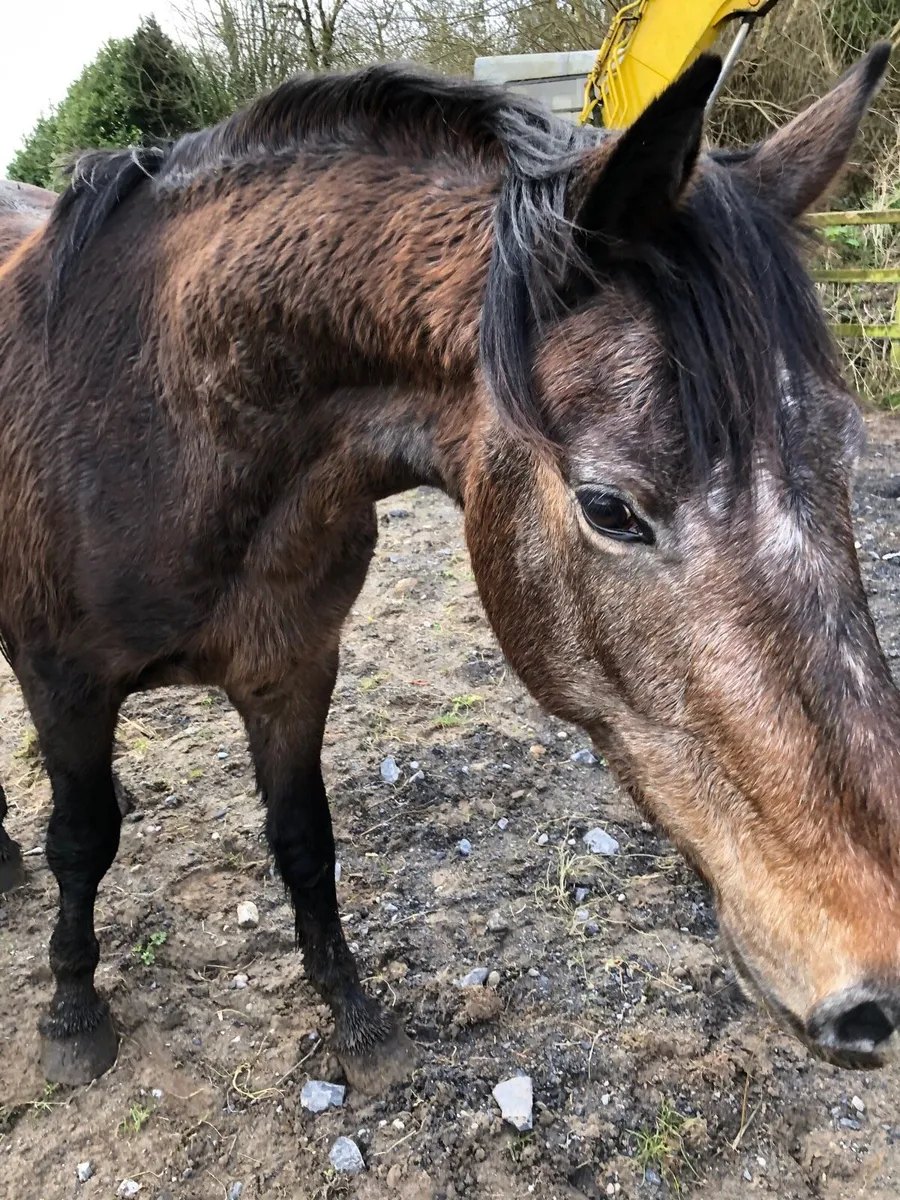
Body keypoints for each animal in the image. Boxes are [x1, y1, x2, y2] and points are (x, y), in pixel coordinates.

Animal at [0, 43, 897, 1094]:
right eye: (609, 508)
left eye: (846, 455)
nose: (878, 985)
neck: (161, 407)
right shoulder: (62, 682)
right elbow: (82, 842)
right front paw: (72, 1012)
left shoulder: (292, 669)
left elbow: (305, 842)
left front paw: (351, 1012)